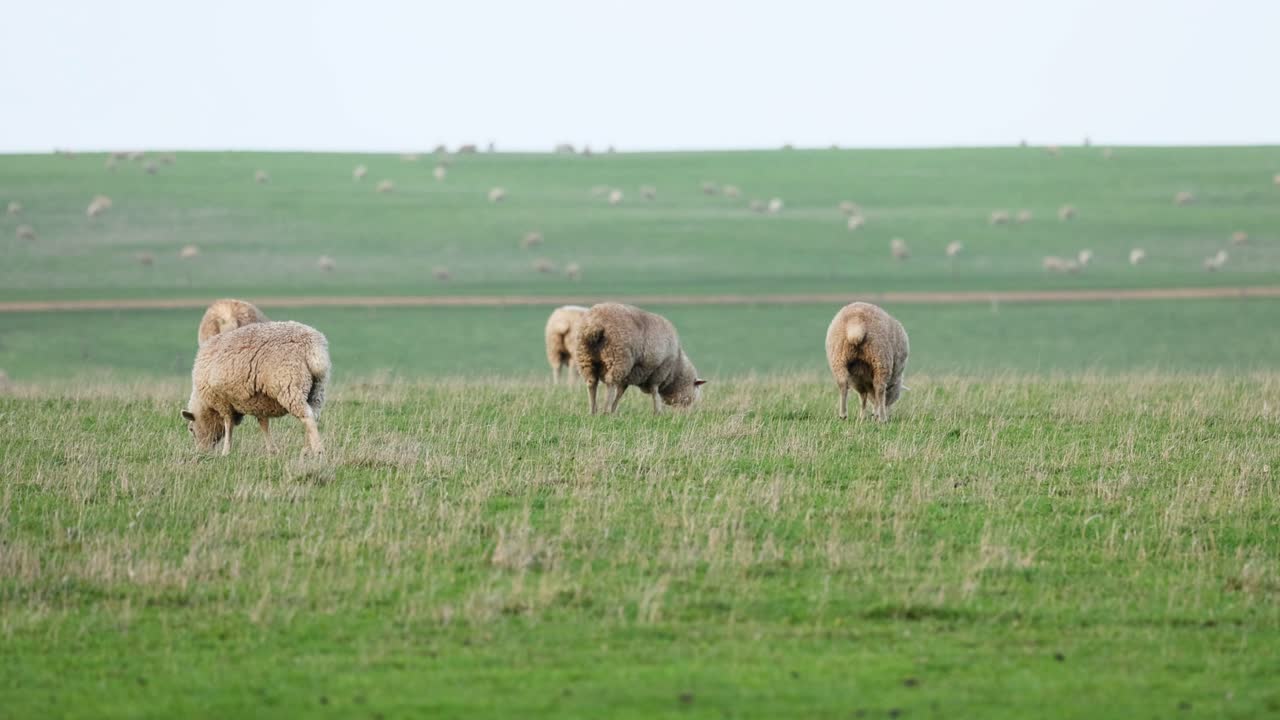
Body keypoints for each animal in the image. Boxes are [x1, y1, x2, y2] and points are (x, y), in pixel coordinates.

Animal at [182, 321, 329, 456]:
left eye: (191, 429)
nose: (201, 453)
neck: (206, 404)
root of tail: (312, 348)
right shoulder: (259, 402)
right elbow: (264, 425)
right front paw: (272, 450)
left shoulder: (223, 402)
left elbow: (228, 425)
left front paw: (225, 452)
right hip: (317, 388)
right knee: (314, 415)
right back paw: (306, 450)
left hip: (290, 386)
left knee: (307, 416)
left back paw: (318, 450)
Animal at [573, 302, 706, 414]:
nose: (686, 414)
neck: (677, 367)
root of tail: (595, 324)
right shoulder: (659, 371)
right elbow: (654, 391)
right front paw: (657, 412)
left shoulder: (627, 377)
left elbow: (620, 392)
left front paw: (614, 410)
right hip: (618, 358)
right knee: (610, 383)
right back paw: (605, 410)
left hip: (585, 358)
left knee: (591, 383)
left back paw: (593, 411)